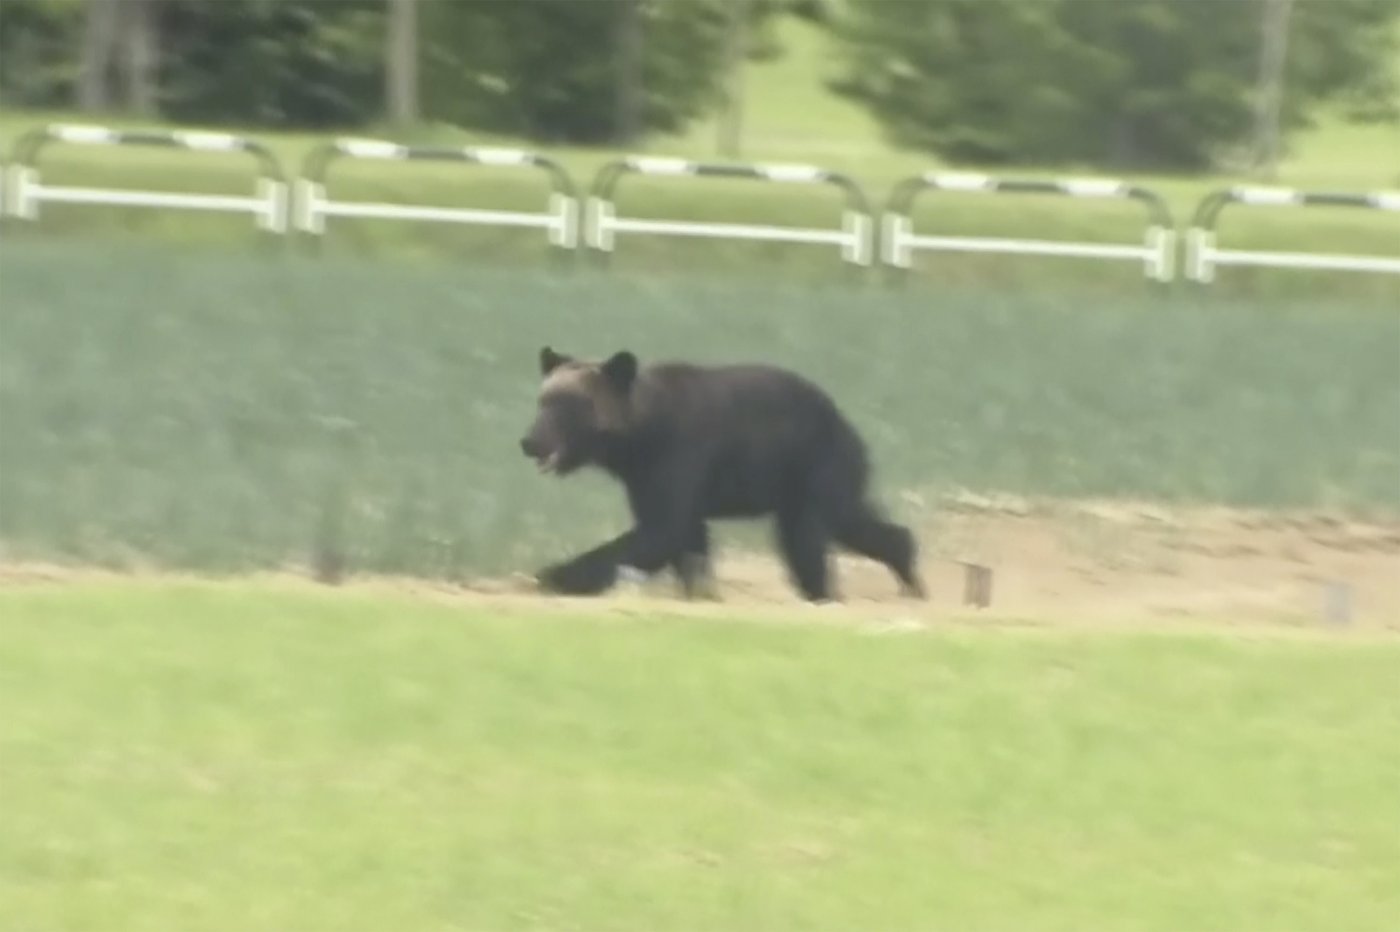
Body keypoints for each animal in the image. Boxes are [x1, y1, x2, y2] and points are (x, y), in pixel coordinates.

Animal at [520, 342, 924, 601]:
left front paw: (550, 574)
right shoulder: (645, 477)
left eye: (569, 404)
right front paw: (700, 589)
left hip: (815, 462)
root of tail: (847, 422)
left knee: (814, 533)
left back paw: (839, 588)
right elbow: (684, 537)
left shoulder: (679, 454)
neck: (638, 439)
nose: (530, 442)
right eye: (543, 400)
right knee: (841, 523)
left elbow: (660, 531)